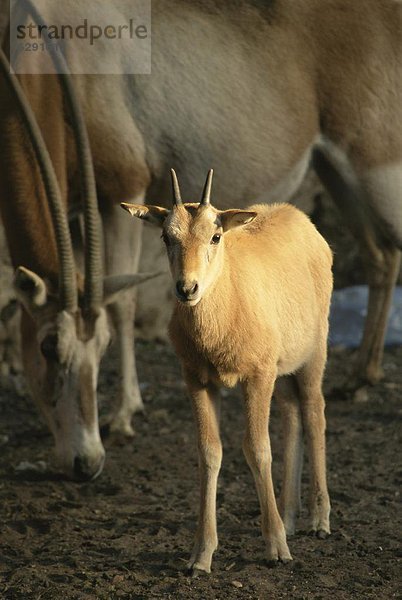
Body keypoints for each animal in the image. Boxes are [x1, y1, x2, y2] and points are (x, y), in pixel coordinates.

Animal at [122, 171, 332, 576]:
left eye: (215, 235)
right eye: (166, 236)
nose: (187, 288)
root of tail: (303, 221)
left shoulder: (257, 375)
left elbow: (257, 448)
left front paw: (276, 549)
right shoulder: (197, 378)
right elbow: (209, 452)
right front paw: (200, 556)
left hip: (314, 354)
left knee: (315, 413)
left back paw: (319, 520)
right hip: (283, 370)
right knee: (293, 414)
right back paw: (289, 516)